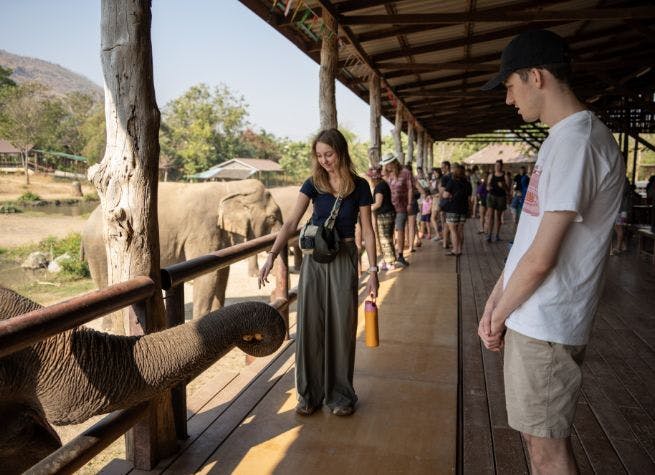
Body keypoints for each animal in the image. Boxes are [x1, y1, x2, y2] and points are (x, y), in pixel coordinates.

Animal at [83, 178, 284, 330]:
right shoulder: (203, 228)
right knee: (105, 282)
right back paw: (109, 327)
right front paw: (201, 323)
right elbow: (207, 276)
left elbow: (222, 272)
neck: (231, 187)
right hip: (98, 250)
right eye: (272, 218)